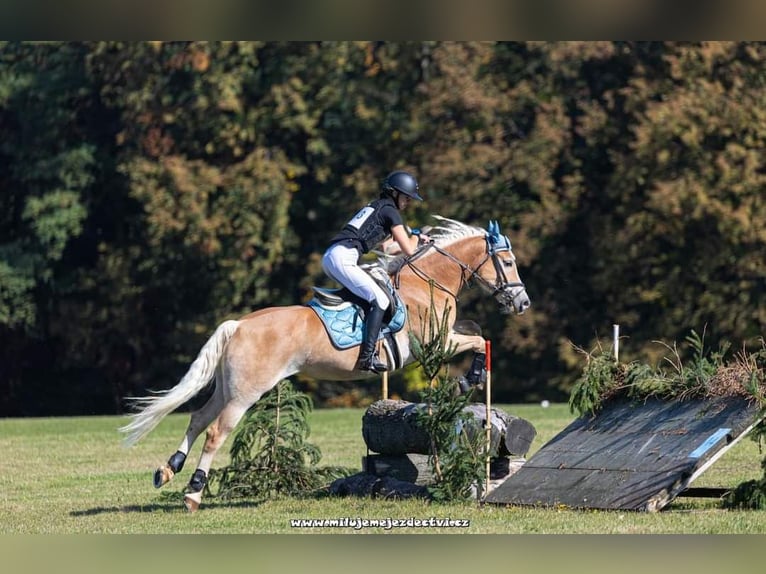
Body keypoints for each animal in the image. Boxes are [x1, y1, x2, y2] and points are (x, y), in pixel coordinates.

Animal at [120, 216, 532, 512]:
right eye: (508, 262)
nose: (522, 303)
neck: (426, 283)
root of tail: (239, 324)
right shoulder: (436, 343)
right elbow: (478, 339)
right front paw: (472, 377)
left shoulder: (444, 338)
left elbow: (476, 331)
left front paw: (471, 377)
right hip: (246, 391)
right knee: (216, 431)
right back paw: (193, 494)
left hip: (228, 386)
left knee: (198, 418)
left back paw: (168, 470)